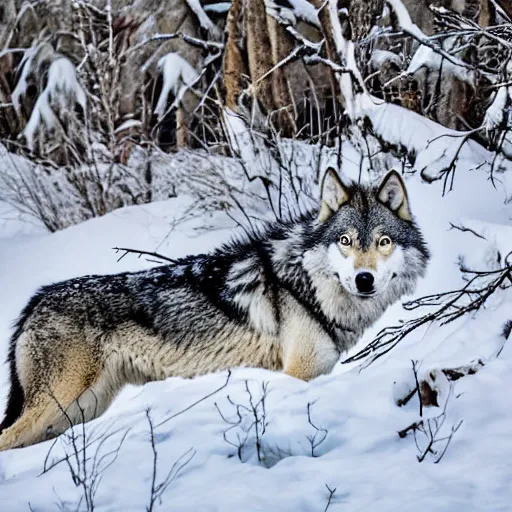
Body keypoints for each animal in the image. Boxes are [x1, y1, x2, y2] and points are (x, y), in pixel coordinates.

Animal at [0, 168, 428, 448]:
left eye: (384, 241)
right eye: (345, 240)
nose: (364, 279)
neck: (306, 283)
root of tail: (35, 301)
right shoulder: (299, 374)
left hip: (78, 411)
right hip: (55, 405)